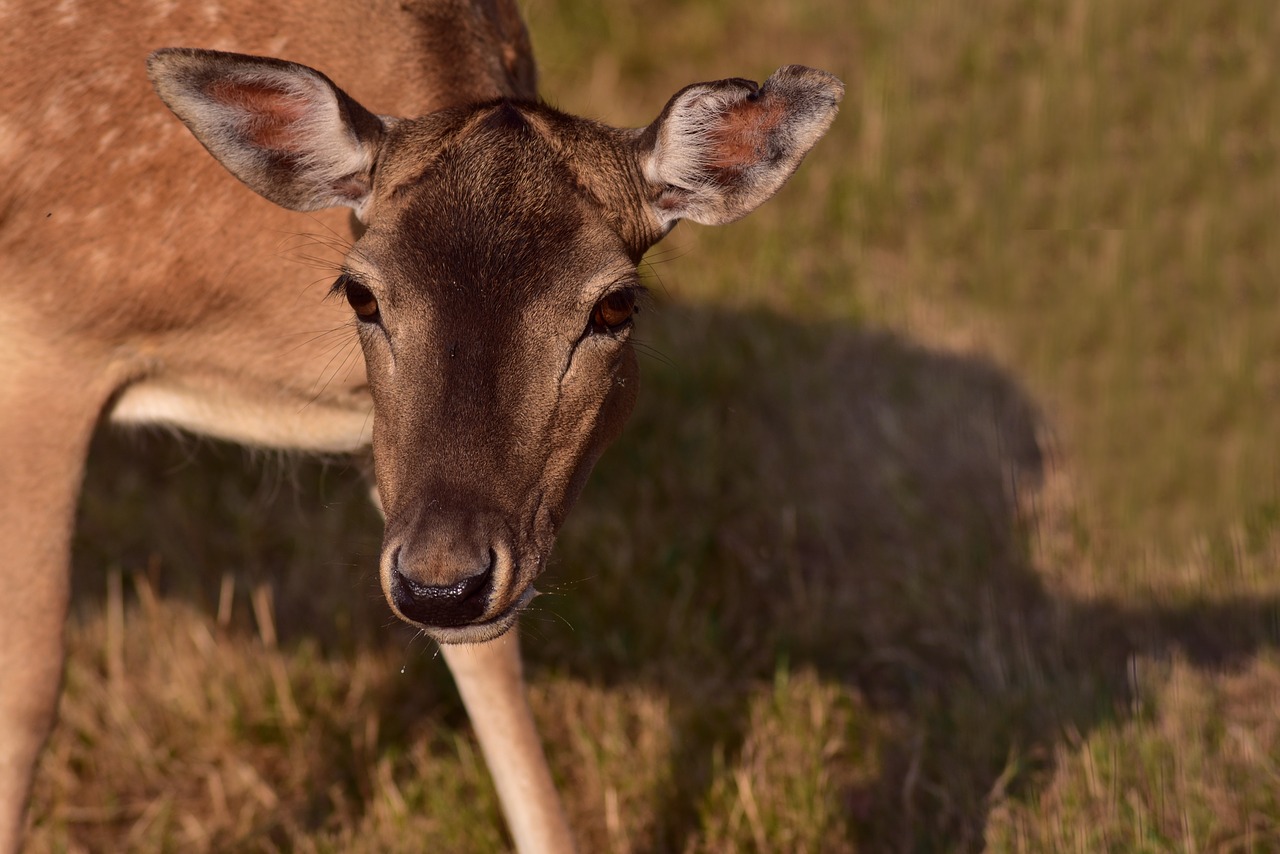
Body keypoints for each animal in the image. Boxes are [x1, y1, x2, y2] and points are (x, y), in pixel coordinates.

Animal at [0, 0, 844, 850]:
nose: (444, 588)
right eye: (359, 292)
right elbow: (29, 689)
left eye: (616, 305)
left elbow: (490, 669)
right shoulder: (45, 338)